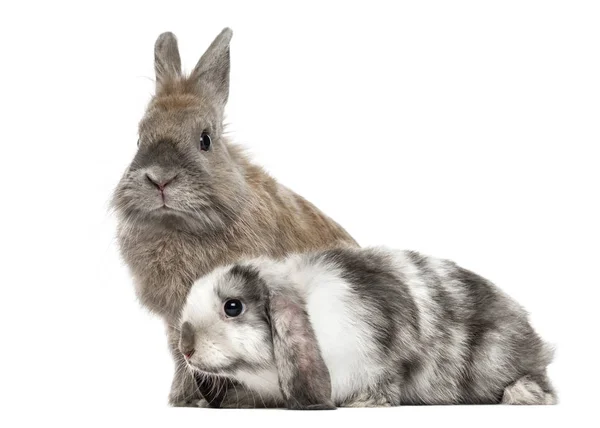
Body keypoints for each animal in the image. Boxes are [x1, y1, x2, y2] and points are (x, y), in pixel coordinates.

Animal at [110, 28, 356, 406]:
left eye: (205, 140)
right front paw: (183, 399)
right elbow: (183, 357)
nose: (160, 179)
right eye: (138, 139)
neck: (180, 226)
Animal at [178, 246, 556, 410]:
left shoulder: (386, 352)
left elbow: (387, 380)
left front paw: (363, 403)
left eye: (233, 307)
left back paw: (522, 395)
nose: (185, 347)